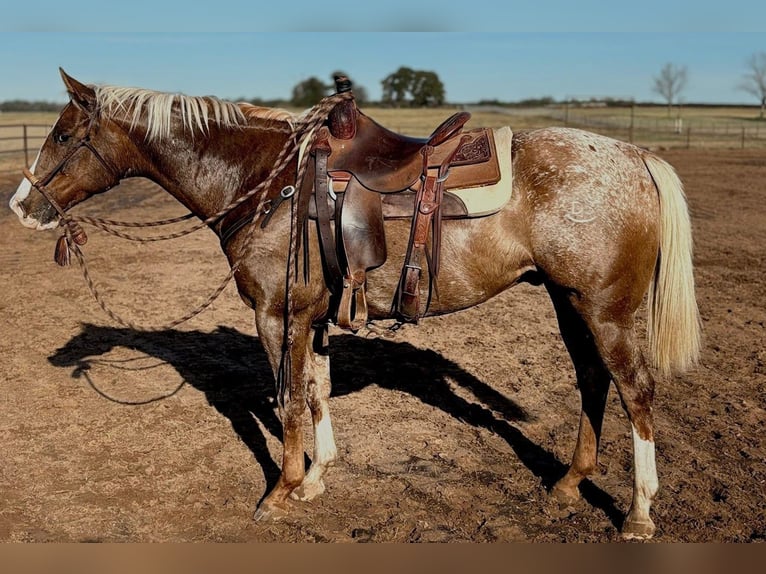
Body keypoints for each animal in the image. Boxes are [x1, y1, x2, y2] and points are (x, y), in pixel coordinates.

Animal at [9, 69, 700, 540]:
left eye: (64, 134)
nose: (21, 204)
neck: (267, 184)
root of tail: (637, 156)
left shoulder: (276, 314)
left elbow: (288, 399)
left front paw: (281, 491)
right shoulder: (312, 317)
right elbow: (316, 391)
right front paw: (317, 478)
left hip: (605, 307)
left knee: (636, 391)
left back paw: (639, 512)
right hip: (568, 300)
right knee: (593, 381)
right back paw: (568, 484)